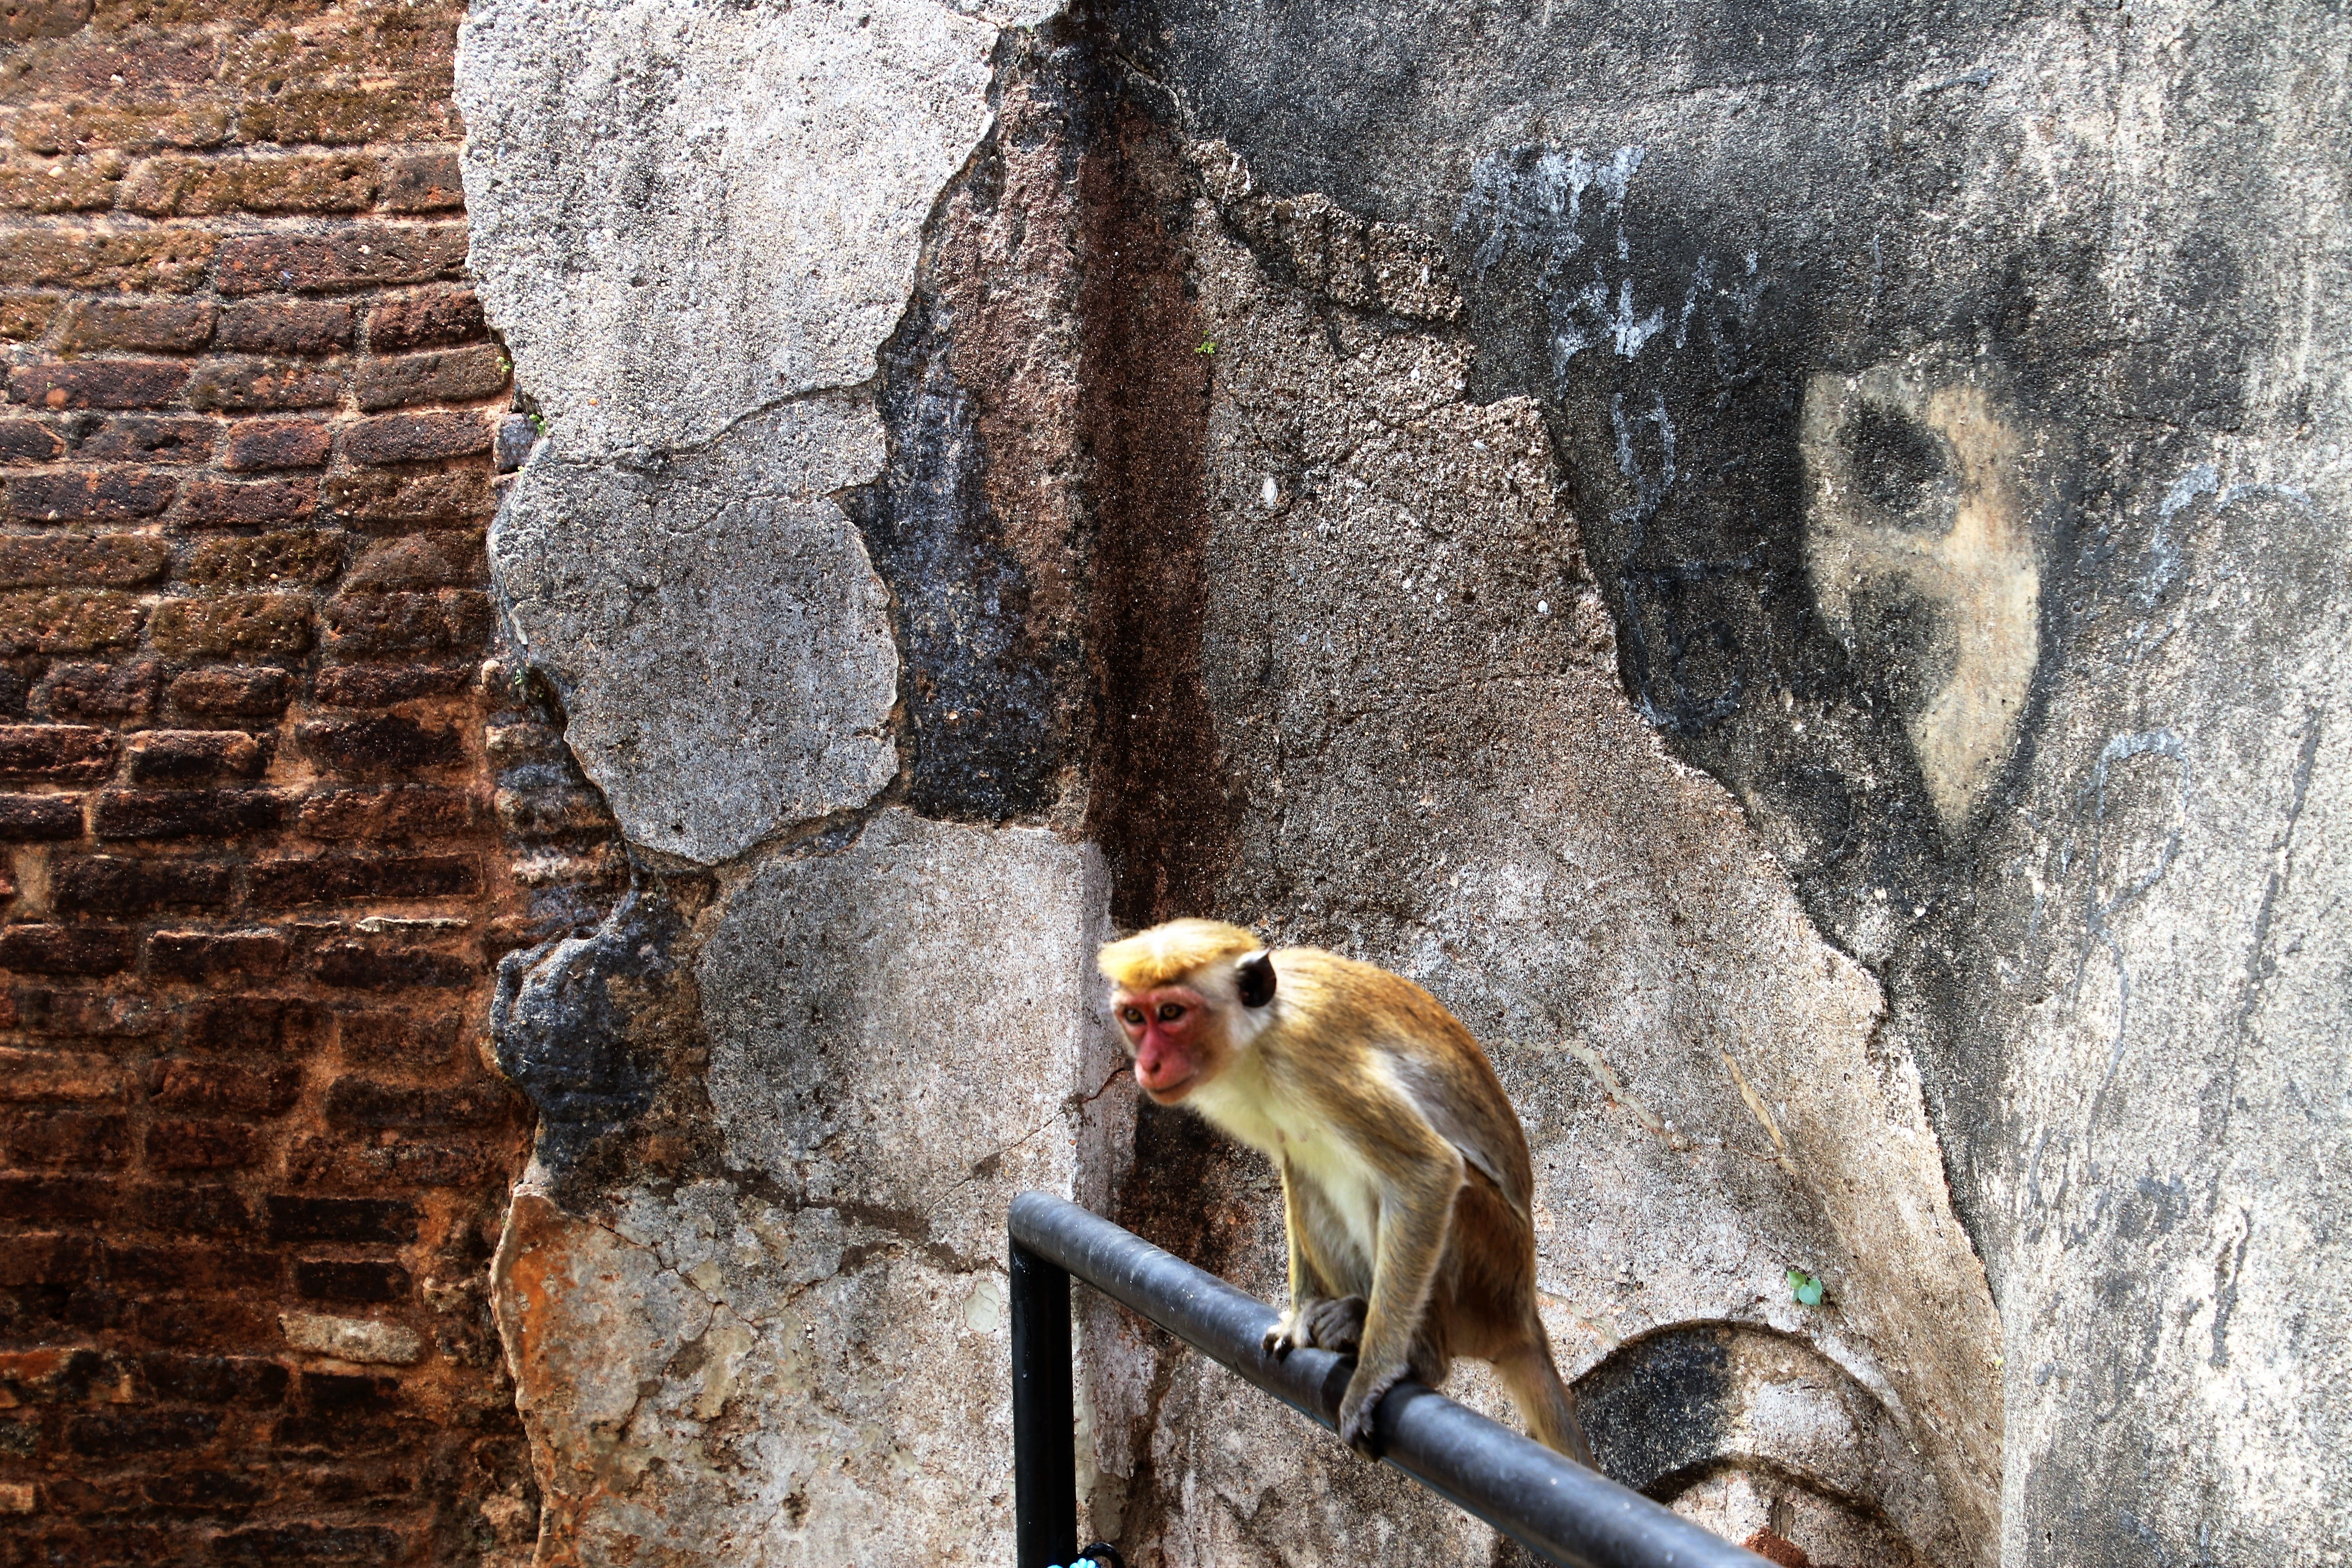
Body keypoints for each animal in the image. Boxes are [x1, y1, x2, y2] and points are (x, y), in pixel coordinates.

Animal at [1098, 918, 1594, 1466]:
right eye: (1134, 1016)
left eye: (1171, 1013)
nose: (1147, 1064)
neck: (1258, 1035)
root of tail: (1524, 1311)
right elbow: (1297, 1166)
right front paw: (1298, 1316)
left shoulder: (1312, 1057)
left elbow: (1429, 1171)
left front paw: (1372, 1377)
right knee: (1320, 1178)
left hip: (1489, 1272)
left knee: (1418, 1190)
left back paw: (1419, 1355)